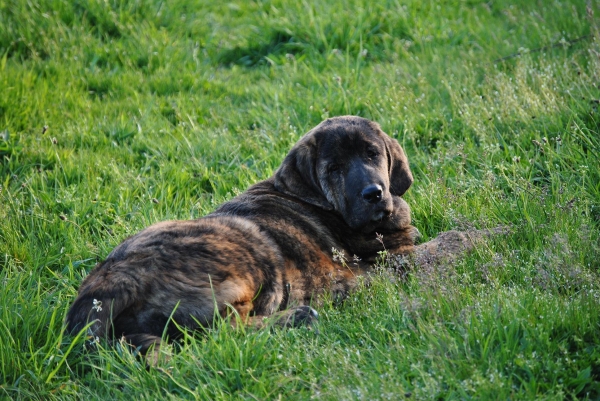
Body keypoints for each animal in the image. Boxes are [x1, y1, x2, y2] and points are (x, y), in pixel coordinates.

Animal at [65, 115, 420, 354]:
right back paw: (299, 316)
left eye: (373, 154)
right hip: (252, 247)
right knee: (224, 333)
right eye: (334, 169)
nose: (373, 193)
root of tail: (108, 285)